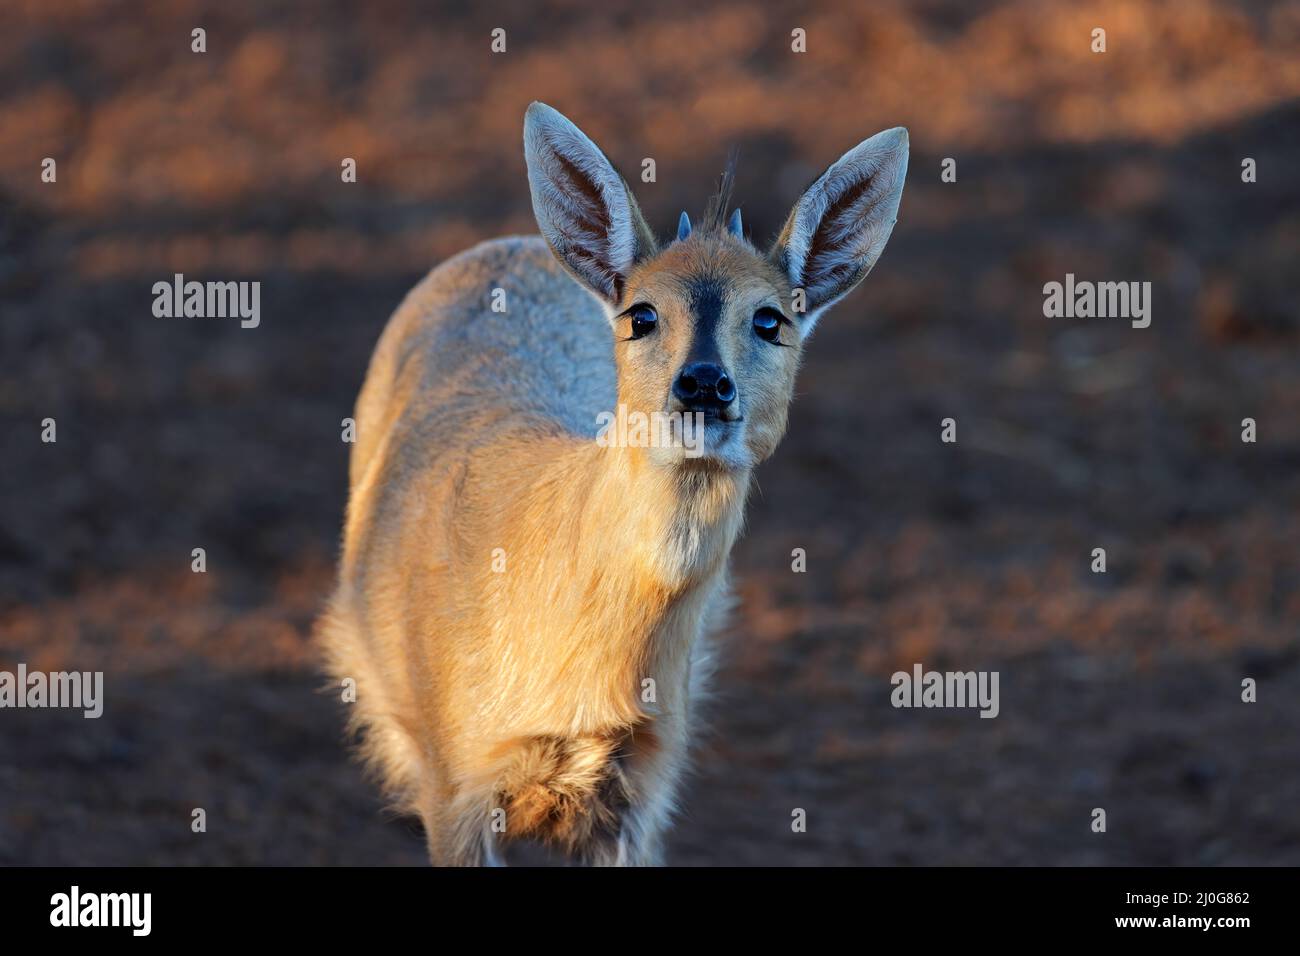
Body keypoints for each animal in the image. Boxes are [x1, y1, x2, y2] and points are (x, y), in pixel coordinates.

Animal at [319, 104, 909, 868]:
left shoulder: (647, 778)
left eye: (771, 319)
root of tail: (510, 244)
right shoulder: (453, 776)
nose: (703, 384)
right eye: (642, 315)